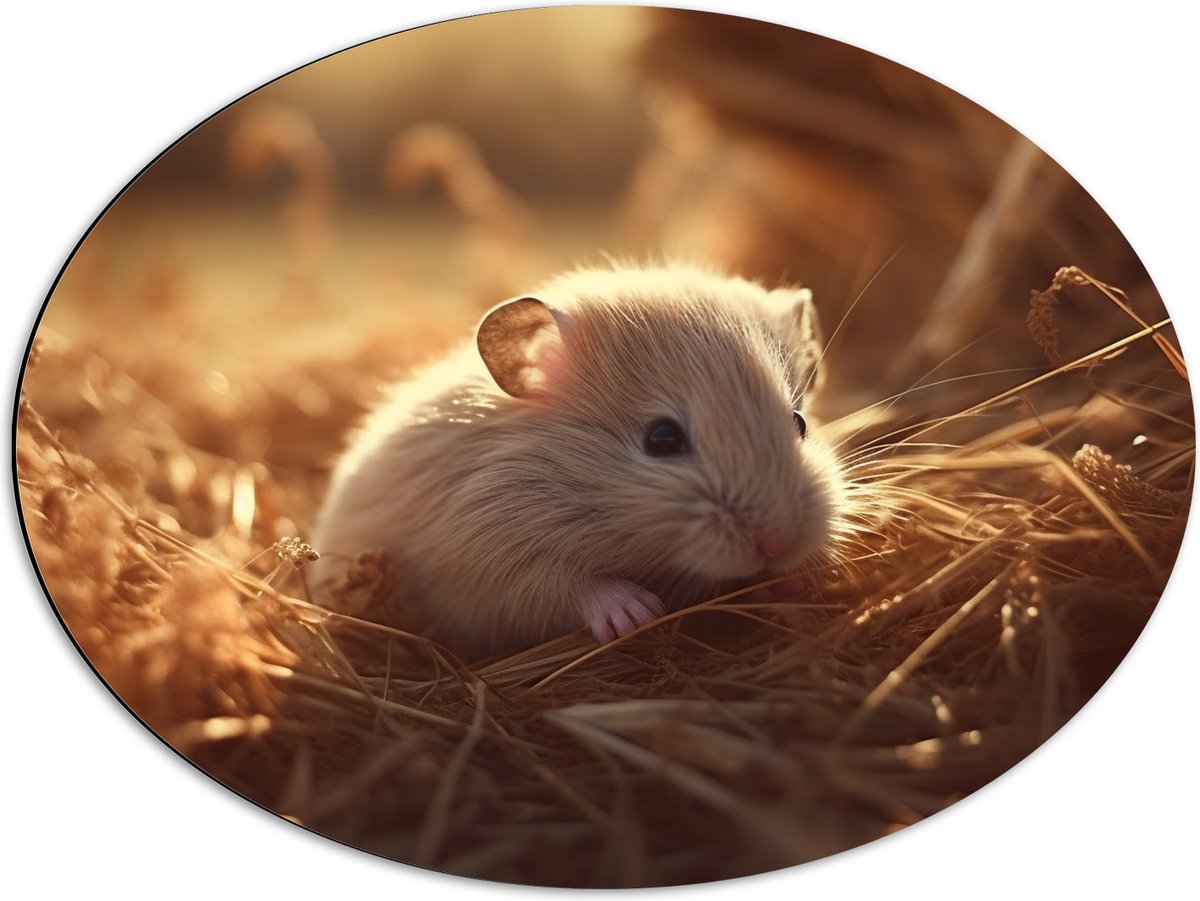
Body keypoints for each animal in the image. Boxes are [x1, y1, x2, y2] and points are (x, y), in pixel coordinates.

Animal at [311, 264, 845, 659]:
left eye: (800, 422)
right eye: (662, 438)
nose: (778, 544)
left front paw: (792, 587)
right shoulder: (488, 560)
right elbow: (568, 584)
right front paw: (639, 614)